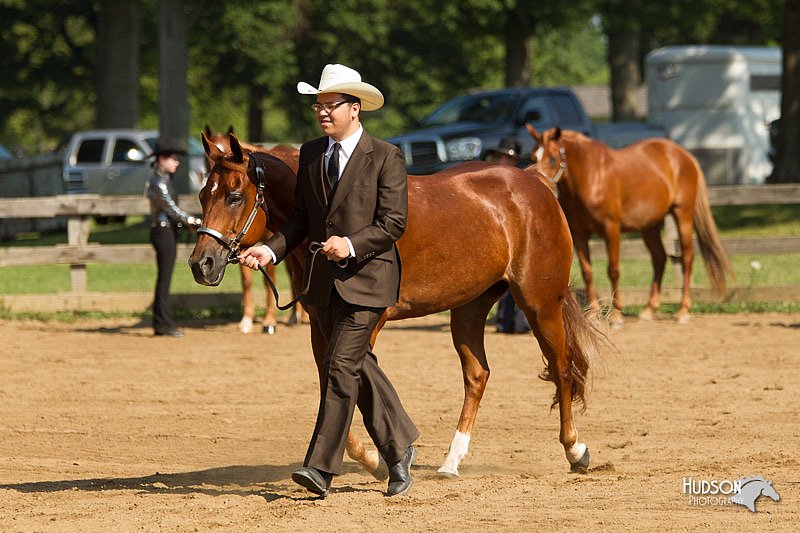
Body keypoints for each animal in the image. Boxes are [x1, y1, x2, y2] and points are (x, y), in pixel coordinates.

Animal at [202, 125, 308, 332]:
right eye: (202, 197)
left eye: (235, 197)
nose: (200, 263)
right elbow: (247, 281)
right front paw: (246, 320)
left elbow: (269, 279)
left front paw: (269, 321)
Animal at [524, 125, 732, 324]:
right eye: (533, 156)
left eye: (553, 158)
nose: (537, 182)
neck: (591, 176)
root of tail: (684, 154)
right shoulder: (579, 234)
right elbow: (587, 272)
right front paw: (594, 314)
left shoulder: (611, 229)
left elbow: (613, 270)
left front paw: (616, 315)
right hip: (650, 225)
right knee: (659, 258)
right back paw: (649, 310)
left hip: (683, 215)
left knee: (687, 257)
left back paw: (683, 311)